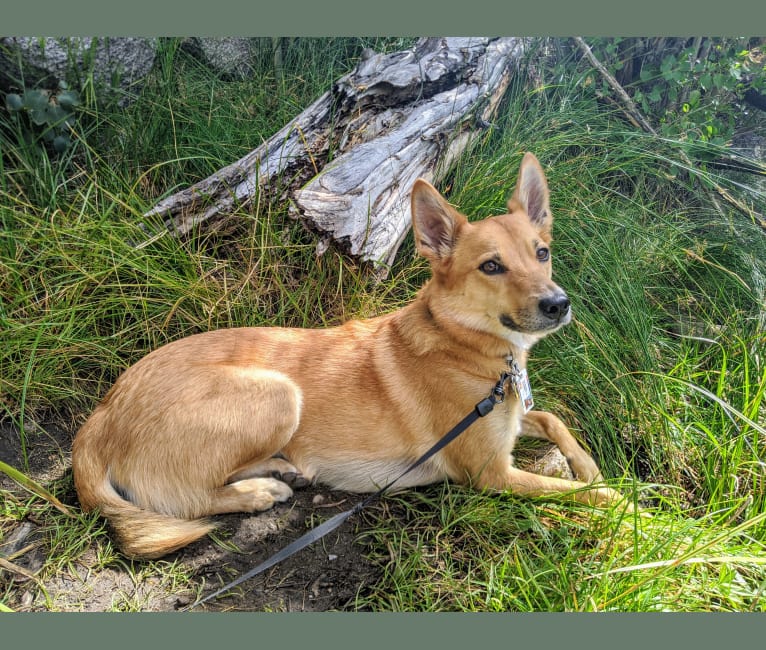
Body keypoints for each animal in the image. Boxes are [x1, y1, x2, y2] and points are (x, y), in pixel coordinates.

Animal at [72, 153, 628, 556]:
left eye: (541, 253)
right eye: (491, 266)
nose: (558, 304)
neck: (462, 343)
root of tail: (102, 414)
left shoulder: (510, 419)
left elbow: (554, 420)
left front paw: (591, 466)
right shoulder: (492, 473)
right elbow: (594, 498)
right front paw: (638, 514)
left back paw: (278, 469)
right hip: (277, 394)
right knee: (189, 498)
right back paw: (258, 493)